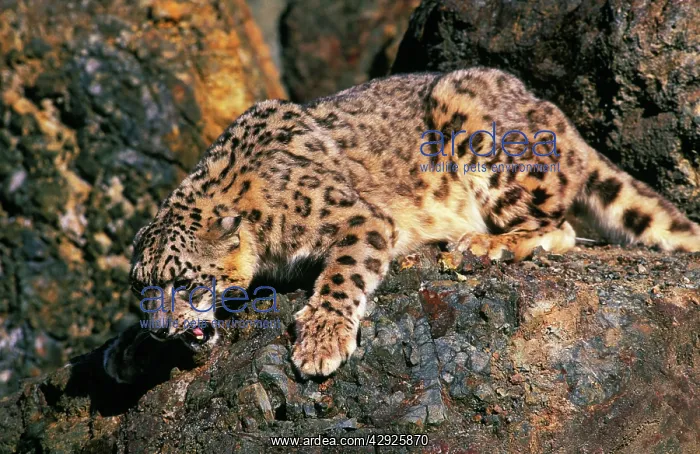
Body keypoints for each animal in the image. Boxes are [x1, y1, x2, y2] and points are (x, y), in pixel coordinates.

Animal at [103, 67, 700, 383]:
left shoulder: (354, 216)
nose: (160, 329)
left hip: (483, 136)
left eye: (186, 282)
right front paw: (127, 347)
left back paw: (484, 244)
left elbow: (343, 274)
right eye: (141, 288)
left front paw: (320, 340)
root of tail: (561, 119)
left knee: (560, 227)